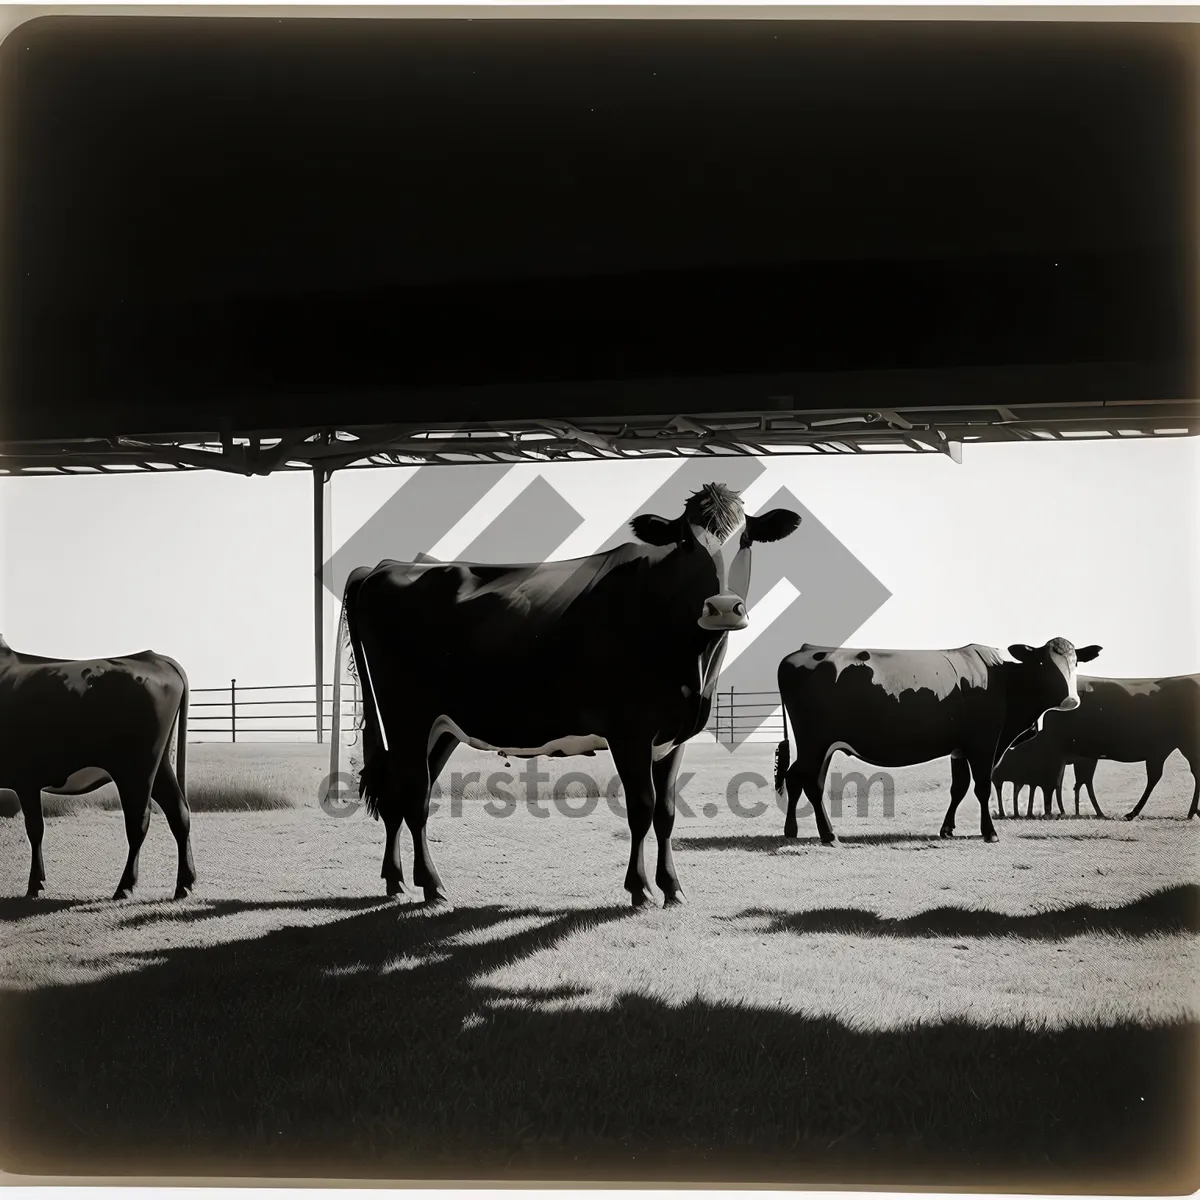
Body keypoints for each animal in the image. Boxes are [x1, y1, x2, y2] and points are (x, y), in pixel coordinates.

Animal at [0, 638, 192, 902]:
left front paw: (35, 884)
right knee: (179, 813)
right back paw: (184, 884)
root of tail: (154, 657)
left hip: (135, 769)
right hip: (161, 764)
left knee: (138, 822)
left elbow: (35, 828)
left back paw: (125, 887)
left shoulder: (26, 778)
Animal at [328, 477, 801, 907]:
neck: (693, 662)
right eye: (686, 541)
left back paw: (397, 881)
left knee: (401, 793)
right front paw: (640, 889)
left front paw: (673, 888)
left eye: (746, 538)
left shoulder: (674, 735)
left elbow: (666, 812)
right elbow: (641, 808)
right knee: (412, 798)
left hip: (439, 727)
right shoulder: (629, 732)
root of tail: (386, 566)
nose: (722, 608)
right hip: (405, 716)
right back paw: (432, 885)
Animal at [772, 638, 1099, 844]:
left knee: (795, 777)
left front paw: (947, 829)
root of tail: (802, 651)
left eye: (1076, 663)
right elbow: (981, 787)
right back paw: (828, 835)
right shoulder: (984, 744)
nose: (1071, 700)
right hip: (815, 742)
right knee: (810, 782)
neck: (1003, 679)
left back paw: (792, 829)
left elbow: (959, 787)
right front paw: (989, 832)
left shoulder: (959, 749)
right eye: (1044, 663)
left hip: (821, 745)